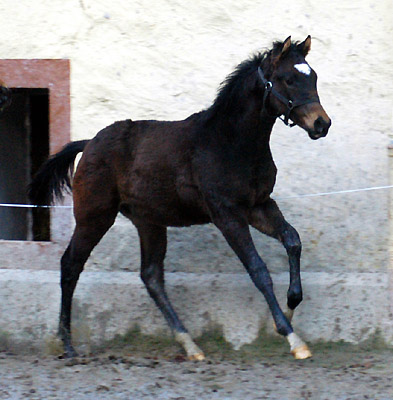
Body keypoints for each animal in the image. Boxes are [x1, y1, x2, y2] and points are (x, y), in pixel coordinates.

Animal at [30, 37, 330, 360]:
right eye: (288, 79)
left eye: (313, 76)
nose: (321, 124)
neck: (230, 142)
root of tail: (88, 144)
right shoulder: (227, 215)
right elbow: (258, 269)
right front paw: (291, 336)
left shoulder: (258, 206)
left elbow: (292, 240)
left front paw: (292, 302)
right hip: (94, 216)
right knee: (70, 265)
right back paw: (68, 343)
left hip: (148, 221)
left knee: (151, 276)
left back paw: (189, 344)